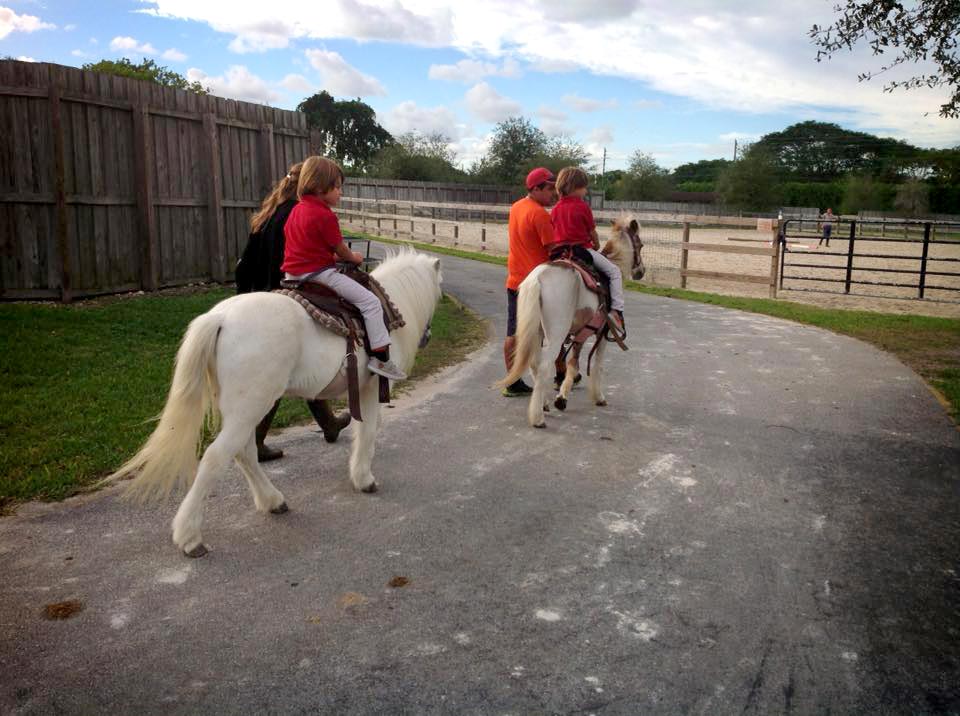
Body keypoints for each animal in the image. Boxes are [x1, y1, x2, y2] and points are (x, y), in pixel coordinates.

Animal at [107, 252, 444, 560]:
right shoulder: (372, 389)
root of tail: (221, 318)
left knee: (244, 453)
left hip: (243, 408)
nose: (428, 335)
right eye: (440, 294)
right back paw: (190, 536)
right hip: (251, 406)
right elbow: (369, 432)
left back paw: (271, 500)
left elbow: (364, 430)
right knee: (217, 457)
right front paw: (364, 479)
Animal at [502, 215, 644, 428]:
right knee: (543, 367)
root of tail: (537, 278)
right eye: (641, 245)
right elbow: (597, 365)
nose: (641, 272)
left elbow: (572, 363)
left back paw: (544, 404)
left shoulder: (579, 335)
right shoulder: (603, 334)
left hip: (536, 332)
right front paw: (598, 397)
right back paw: (538, 418)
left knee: (535, 365)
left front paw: (562, 398)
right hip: (556, 334)